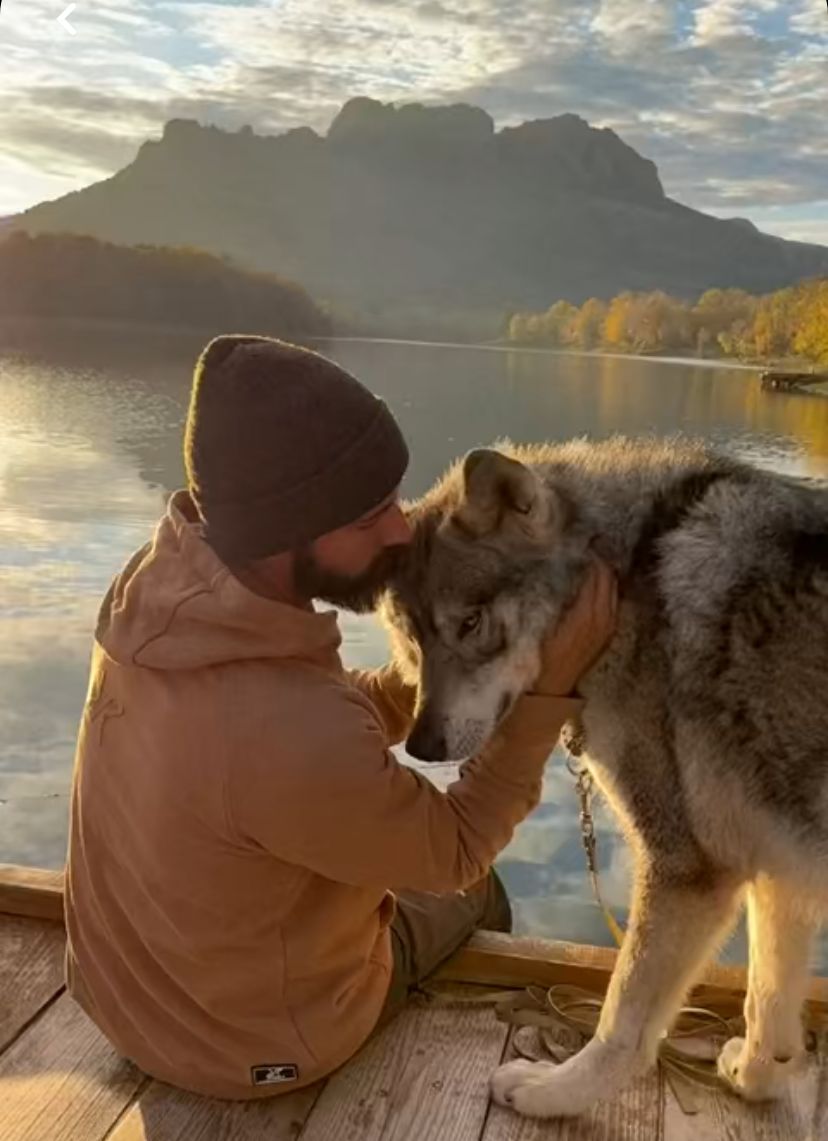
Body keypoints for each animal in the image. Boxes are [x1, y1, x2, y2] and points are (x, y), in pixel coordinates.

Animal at [380, 436, 828, 1119]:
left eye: (470, 624)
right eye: (412, 639)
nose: (420, 746)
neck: (627, 581)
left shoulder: (688, 869)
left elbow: (623, 1017)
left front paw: (554, 1092)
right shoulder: (777, 865)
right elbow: (766, 999)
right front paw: (758, 1078)